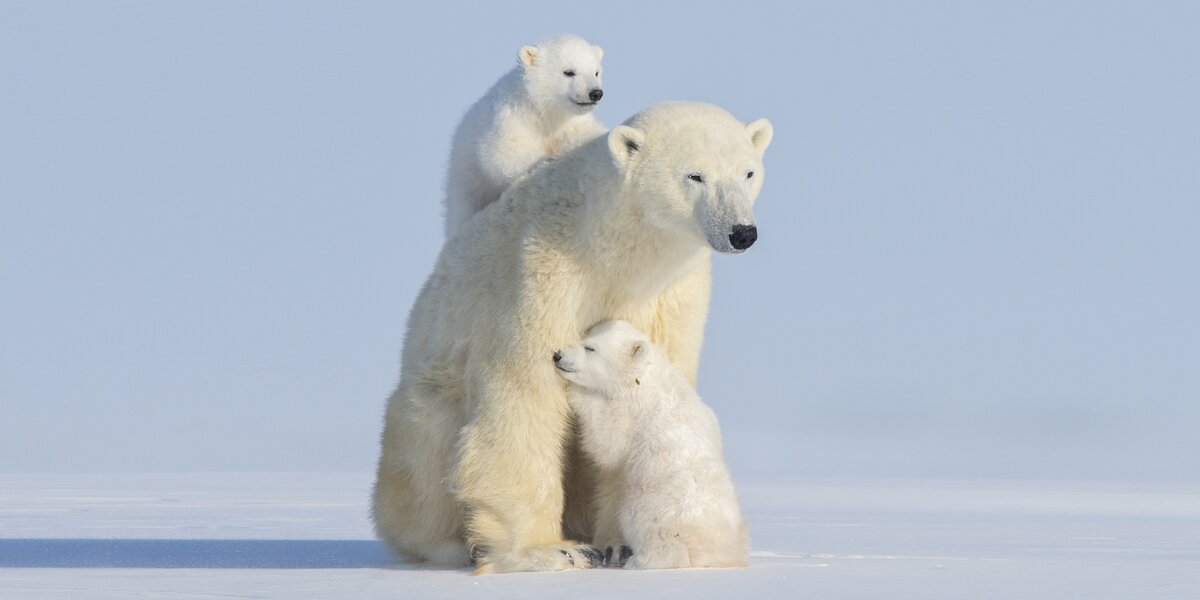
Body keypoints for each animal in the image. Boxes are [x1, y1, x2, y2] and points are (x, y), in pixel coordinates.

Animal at [444, 34, 609, 237]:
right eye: (569, 72)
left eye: (596, 72)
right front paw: (545, 159)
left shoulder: (570, 124)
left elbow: (586, 134)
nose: (595, 93)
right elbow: (500, 153)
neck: (542, 111)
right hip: (464, 186)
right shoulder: (510, 117)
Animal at [554, 319, 748, 566]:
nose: (558, 355)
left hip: (656, 504)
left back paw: (638, 560)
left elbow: (608, 443)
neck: (646, 378)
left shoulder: (634, 413)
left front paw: (577, 392)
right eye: (584, 338)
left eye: (590, 348)